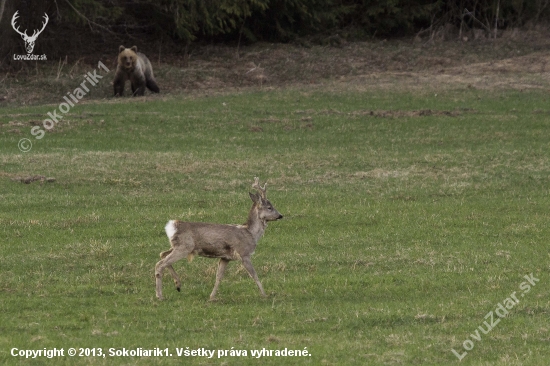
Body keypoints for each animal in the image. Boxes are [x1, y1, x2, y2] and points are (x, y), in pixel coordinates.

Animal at [155, 177, 284, 300]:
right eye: (269, 207)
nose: (280, 215)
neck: (250, 233)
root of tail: (172, 225)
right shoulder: (244, 253)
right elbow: (254, 275)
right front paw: (265, 295)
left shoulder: (225, 257)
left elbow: (219, 277)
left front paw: (212, 297)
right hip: (184, 247)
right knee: (160, 264)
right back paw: (160, 295)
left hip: (177, 245)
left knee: (162, 254)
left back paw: (177, 284)